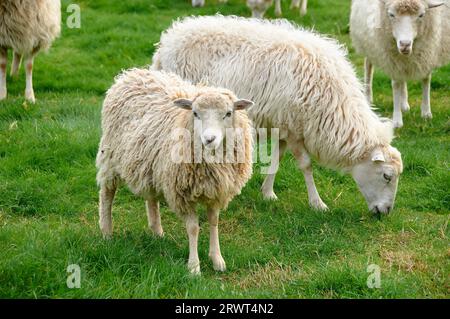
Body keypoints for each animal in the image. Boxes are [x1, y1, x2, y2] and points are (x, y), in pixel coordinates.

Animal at [96, 69, 253, 276]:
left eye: (228, 113)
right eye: (195, 113)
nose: (209, 139)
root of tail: (132, 73)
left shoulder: (216, 191)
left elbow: (214, 222)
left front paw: (217, 259)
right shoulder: (182, 193)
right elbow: (193, 228)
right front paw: (194, 267)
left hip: (150, 165)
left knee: (151, 198)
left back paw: (157, 232)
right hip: (110, 156)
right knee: (107, 194)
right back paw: (106, 232)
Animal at [151, 14, 404, 215]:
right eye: (387, 176)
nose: (385, 212)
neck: (334, 106)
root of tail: (167, 40)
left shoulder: (282, 125)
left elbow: (277, 159)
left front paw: (267, 193)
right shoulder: (294, 128)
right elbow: (306, 166)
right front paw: (317, 203)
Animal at [352, 0, 450, 128]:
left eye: (421, 15)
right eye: (391, 15)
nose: (405, 44)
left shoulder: (429, 52)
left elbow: (426, 80)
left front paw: (426, 113)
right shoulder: (392, 59)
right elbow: (396, 85)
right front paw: (397, 121)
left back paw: (404, 104)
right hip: (369, 44)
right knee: (368, 66)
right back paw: (368, 98)